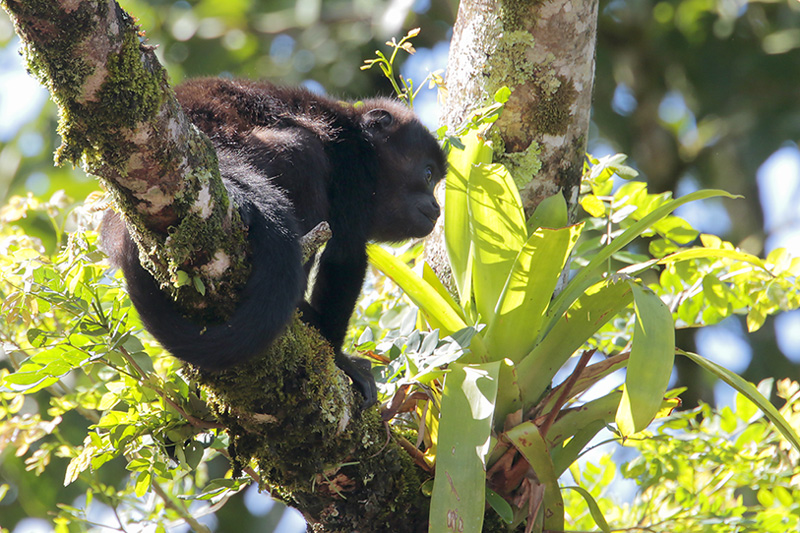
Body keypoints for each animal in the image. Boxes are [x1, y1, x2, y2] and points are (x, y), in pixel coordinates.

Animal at [101, 77, 446, 406]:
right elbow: (344, 259)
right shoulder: (355, 172)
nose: (437, 207)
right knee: (304, 153)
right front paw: (339, 359)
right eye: (428, 174)